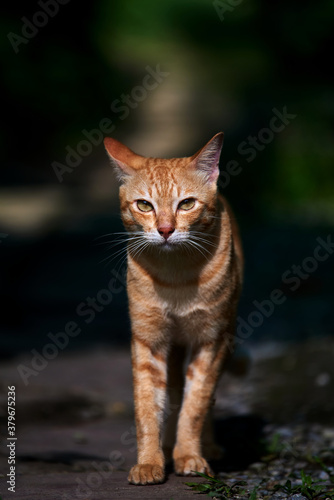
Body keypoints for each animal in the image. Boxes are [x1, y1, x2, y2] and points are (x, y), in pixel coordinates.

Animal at [104, 133, 243, 484]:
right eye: (144, 205)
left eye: (187, 204)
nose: (165, 230)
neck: (176, 276)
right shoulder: (148, 341)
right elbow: (148, 406)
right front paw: (150, 462)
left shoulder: (210, 341)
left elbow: (196, 405)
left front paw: (190, 455)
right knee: (174, 392)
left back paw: (206, 446)